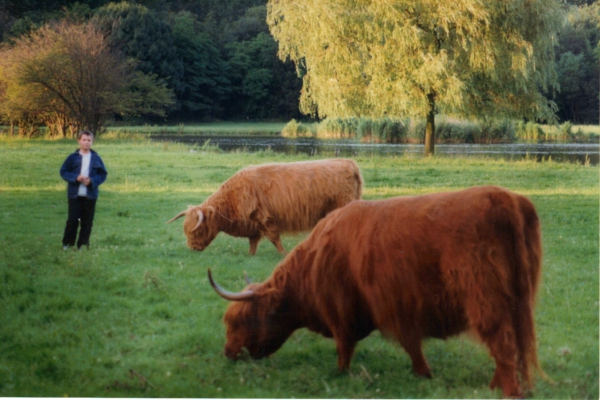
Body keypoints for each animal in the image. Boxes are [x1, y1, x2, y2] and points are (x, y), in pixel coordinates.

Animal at [166, 158, 360, 255]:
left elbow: (274, 238)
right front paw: (251, 255)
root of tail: (347, 162)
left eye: (197, 230)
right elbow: (253, 242)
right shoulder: (253, 224)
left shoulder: (264, 217)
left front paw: (283, 254)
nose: (192, 248)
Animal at [209, 186, 548, 398]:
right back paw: (495, 385)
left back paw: (509, 391)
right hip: (519, 301)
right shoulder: (399, 309)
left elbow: (345, 349)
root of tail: (505, 199)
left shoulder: (346, 312)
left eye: (239, 322)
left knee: (502, 342)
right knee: (514, 343)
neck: (311, 270)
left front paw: (340, 374)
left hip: (486, 301)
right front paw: (423, 374)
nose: (227, 353)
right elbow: (413, 347)